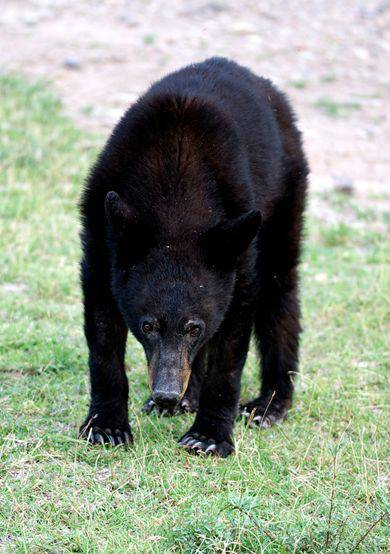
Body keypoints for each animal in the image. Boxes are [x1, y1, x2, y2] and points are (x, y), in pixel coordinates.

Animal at [79, 56, 310, 454]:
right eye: (147, 325)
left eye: (194, 328)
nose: (166, 393)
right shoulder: (102, 230)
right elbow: (103, 328)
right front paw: (106, 426)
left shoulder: (237, 244)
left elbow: (231, 340)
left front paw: (208, 436)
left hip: (286, 194)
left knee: (279, 289)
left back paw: (268, 405)